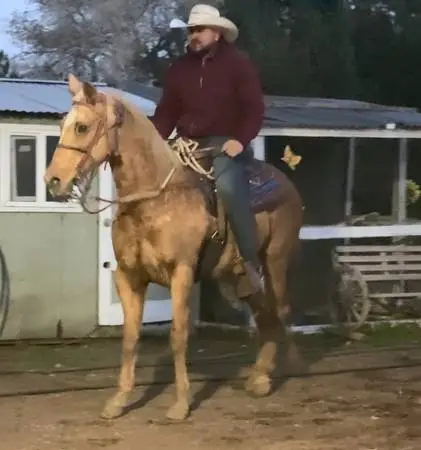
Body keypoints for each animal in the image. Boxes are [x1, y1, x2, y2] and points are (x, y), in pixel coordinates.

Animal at [44, 73, 304, 421]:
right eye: (63, 125)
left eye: (82, 127)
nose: (53, 181)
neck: (153, 199)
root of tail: (285, 183)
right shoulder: (129, 276)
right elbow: (130, 337)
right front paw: (119, 400)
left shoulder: (180, 273)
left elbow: (178, 336)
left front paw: (180, 403)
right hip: (238, 276)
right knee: (264, 312)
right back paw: (258, 376)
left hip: (275, 260)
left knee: (280, 309)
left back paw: (274, 374)